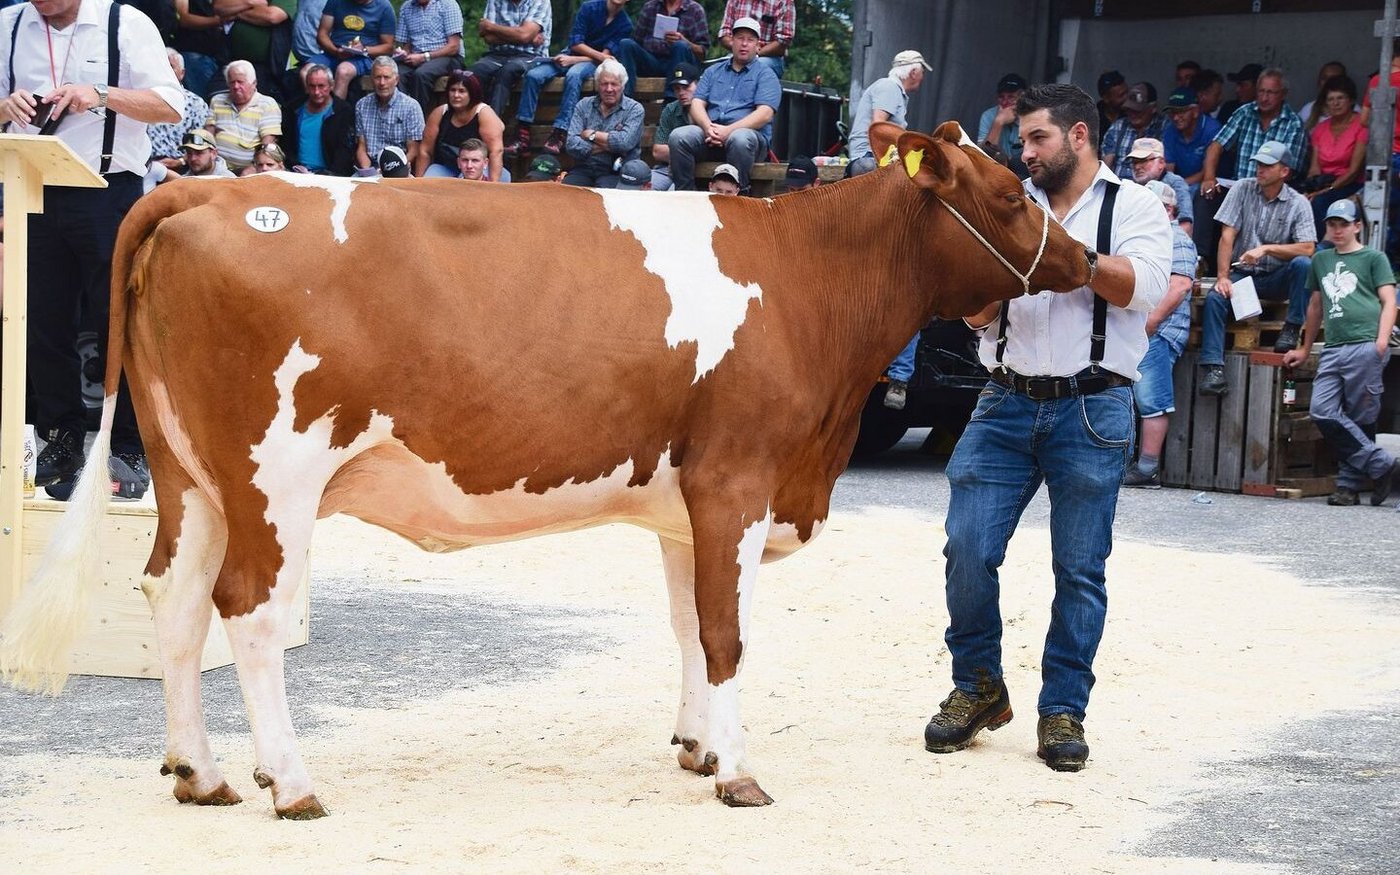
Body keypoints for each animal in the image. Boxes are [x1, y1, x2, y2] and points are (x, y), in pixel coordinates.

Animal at [1, 121, 1094, 817]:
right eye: (1010, 193)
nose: (1088, 263)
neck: (804, 280)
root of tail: (213, 184)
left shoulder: (684, 503)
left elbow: (688, 623)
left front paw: (696, 746)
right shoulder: (736, 479)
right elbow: (728, 632)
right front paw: (738, 771)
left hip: (191, 476)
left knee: (174, 598)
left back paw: (201, 771)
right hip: (276, 475)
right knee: (250, 609)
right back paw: (293, 782)